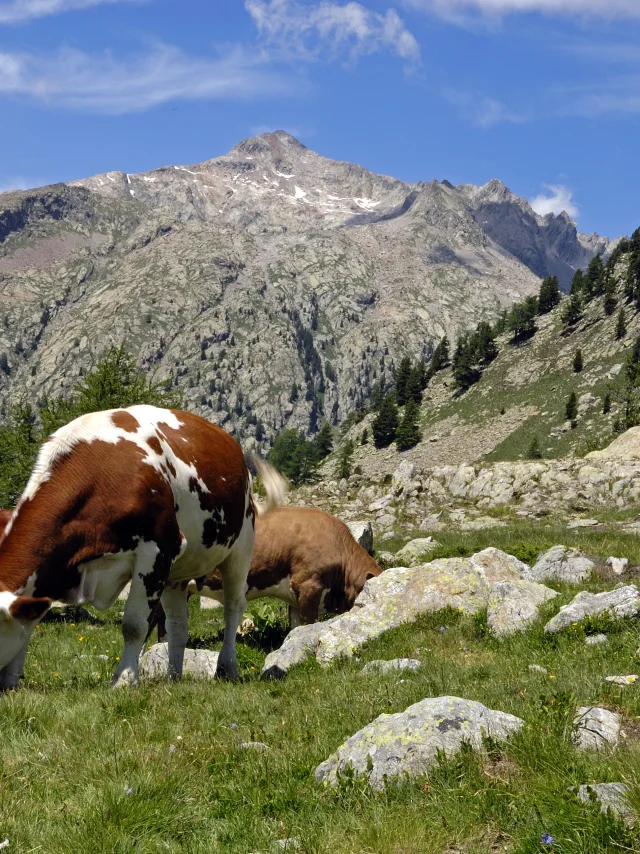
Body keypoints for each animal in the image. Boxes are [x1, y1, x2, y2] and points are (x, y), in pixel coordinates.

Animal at [0, 404, 264, 692]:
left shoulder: (157, 550)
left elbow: (134, 624)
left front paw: (124, 679)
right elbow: (28, 624)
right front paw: (11, 679)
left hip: (241, 547)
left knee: (232, 606)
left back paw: (227, 668)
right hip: (177, 573)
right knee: (177, 622)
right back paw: (173, 676)